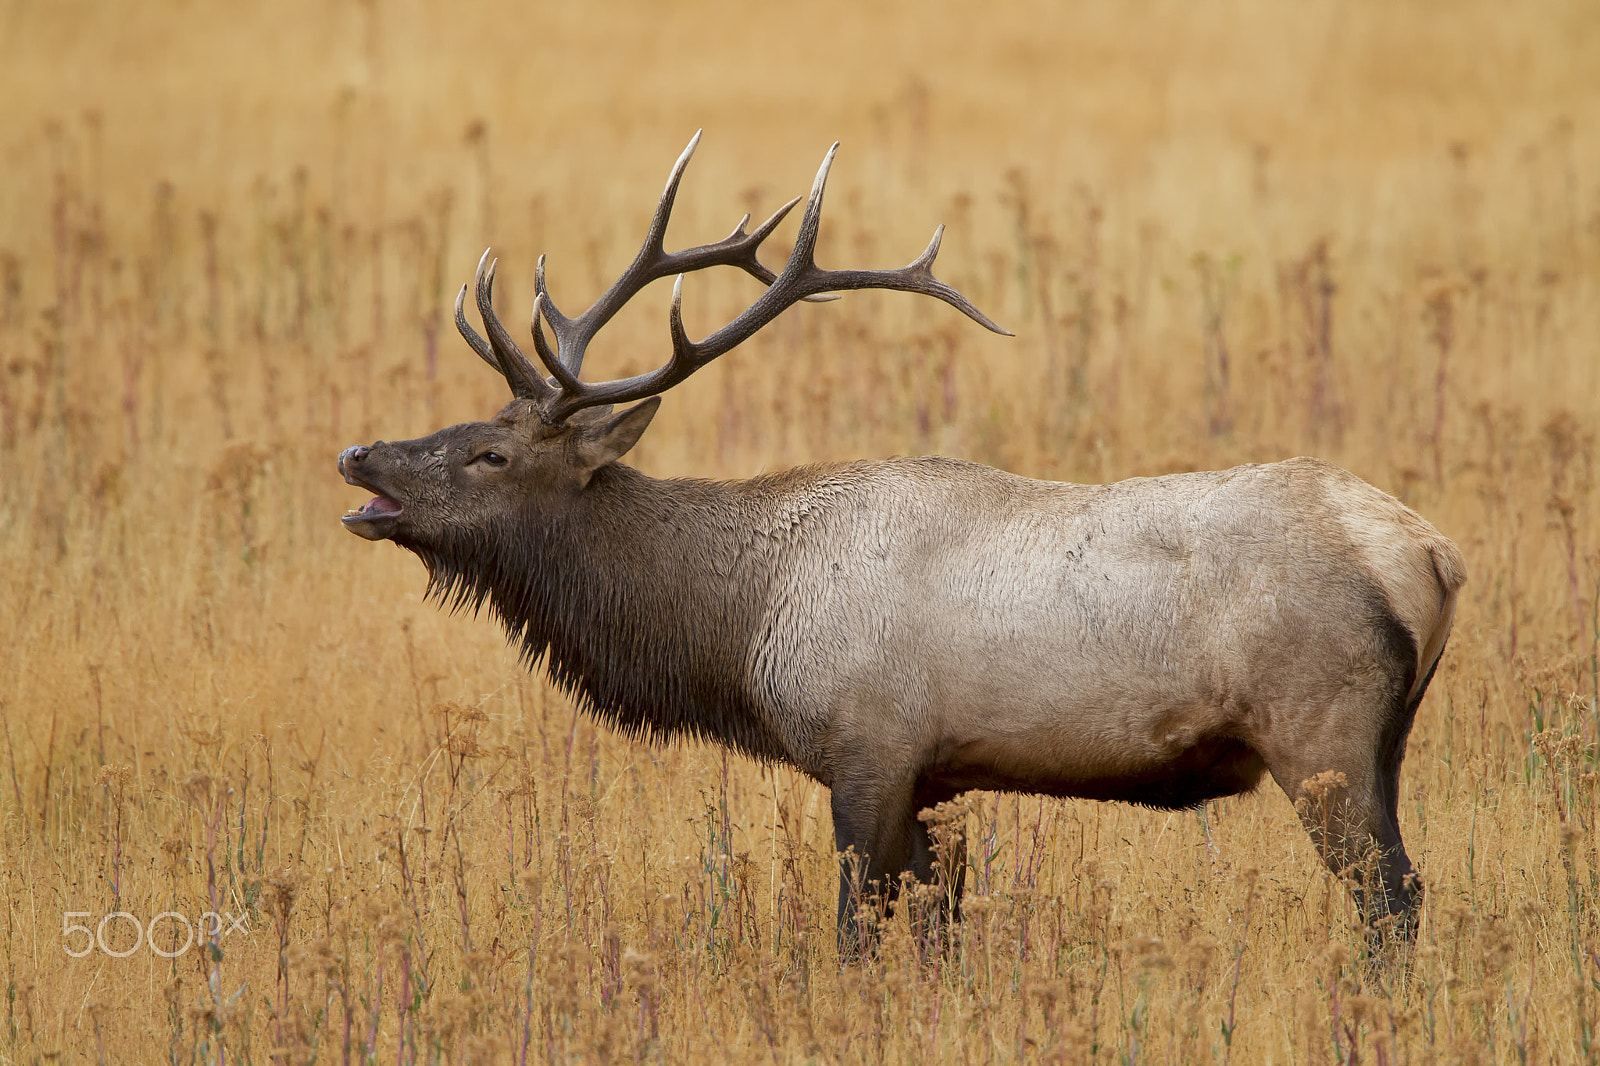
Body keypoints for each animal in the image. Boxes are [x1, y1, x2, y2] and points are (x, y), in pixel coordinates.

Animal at [338, 133, 1465, 959]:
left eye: (489, 451)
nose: (358, 456)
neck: (740, 628)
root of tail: (1430, 554)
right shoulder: (934, 776)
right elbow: (936, 935)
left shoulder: (869, 747)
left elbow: (856, 934)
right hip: (1390, 740)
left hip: (1318, 733)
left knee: (1396, 899)